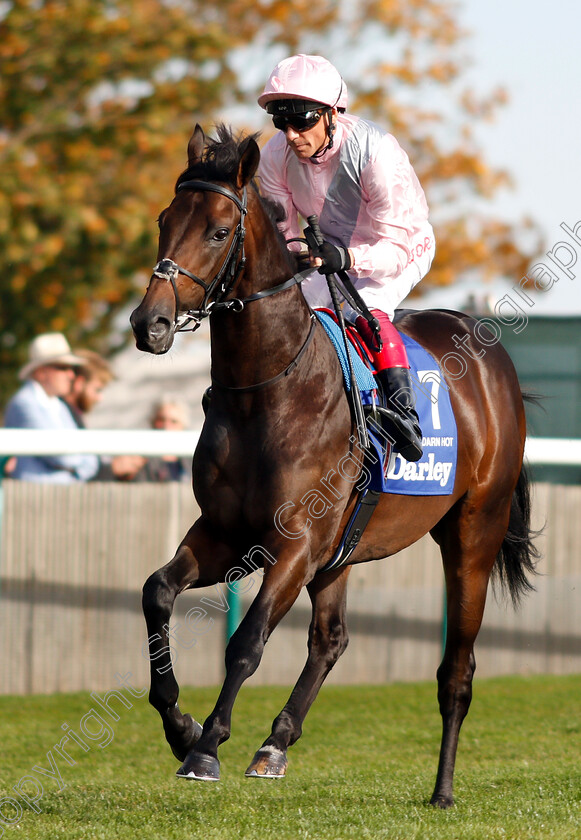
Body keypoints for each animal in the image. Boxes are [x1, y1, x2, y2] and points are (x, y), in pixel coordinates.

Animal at [129, 124, 536, 808]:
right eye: (164, 220)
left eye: (218, 231)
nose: (148, 323)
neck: (267, 390)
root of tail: (495, 361)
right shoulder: (225, 533)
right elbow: (157, 591)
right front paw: (180, 726)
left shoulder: (293, 542)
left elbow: (247, 642)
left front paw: (207, 746)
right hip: (341, 548)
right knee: (331, 639)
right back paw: (275, 743)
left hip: (473, 531)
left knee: (456, 670)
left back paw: (443, 790)